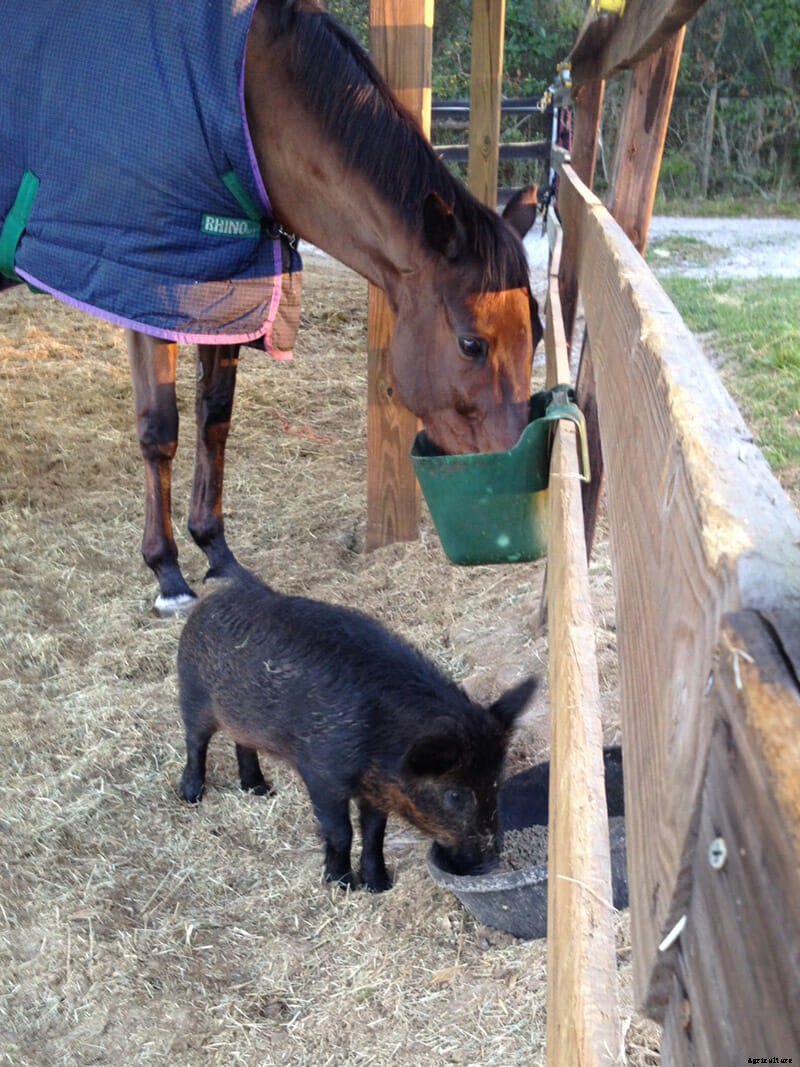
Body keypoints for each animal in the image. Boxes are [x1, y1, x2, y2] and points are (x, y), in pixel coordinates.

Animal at [1, 0, 542, 616]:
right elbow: (160, 431)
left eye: (539, 335)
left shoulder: (227, 295)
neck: (242, 98)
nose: (514, 477)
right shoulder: (145, 286)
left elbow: (214, 421)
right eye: (472, 344)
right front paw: (167, 572)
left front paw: (216, 552)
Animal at [177, 570, 537, 892]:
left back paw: (259, 790)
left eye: (497, 780)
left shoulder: (377, 790)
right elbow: (340, 831)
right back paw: (191, 796)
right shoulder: (320, 774)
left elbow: (375, 832)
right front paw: (342, 885)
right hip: (193, 695)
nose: (490, 863)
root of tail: (207, 604)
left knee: (242, 743)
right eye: (454, 795)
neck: (378, 740)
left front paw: (379, 885)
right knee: (195, 741)